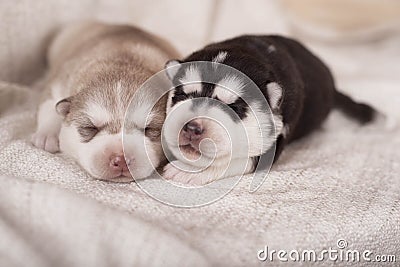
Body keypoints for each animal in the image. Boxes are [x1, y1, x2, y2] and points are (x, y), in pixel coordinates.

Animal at [162, 35, 376, 186]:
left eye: (233, 107)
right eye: (181, 96)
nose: (191, 128)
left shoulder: (273, 142)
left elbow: (230, 160)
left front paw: (185, 170)